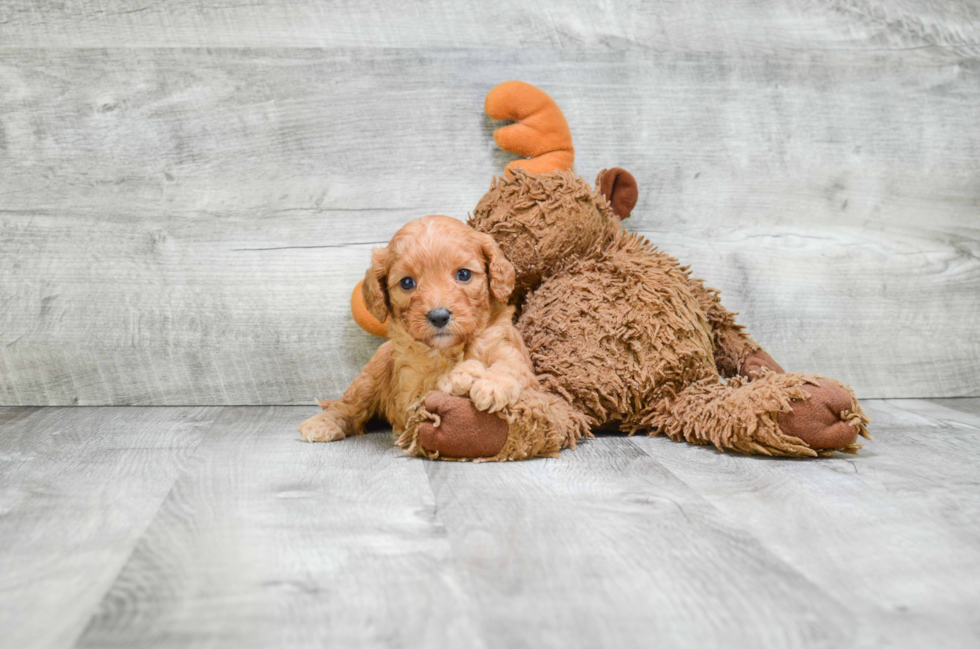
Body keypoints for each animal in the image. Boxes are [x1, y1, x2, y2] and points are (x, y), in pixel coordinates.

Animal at [300, 215, 544, 448]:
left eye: (464, 275)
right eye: (407, 282)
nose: (439, 316)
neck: (449, 350)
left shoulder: (511, 353)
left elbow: (511, 368)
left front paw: (491, 384)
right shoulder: (409, 395)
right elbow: (432, 386)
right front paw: (462, 375)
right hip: (369, 378)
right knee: (347, 406)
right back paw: (322, 423)